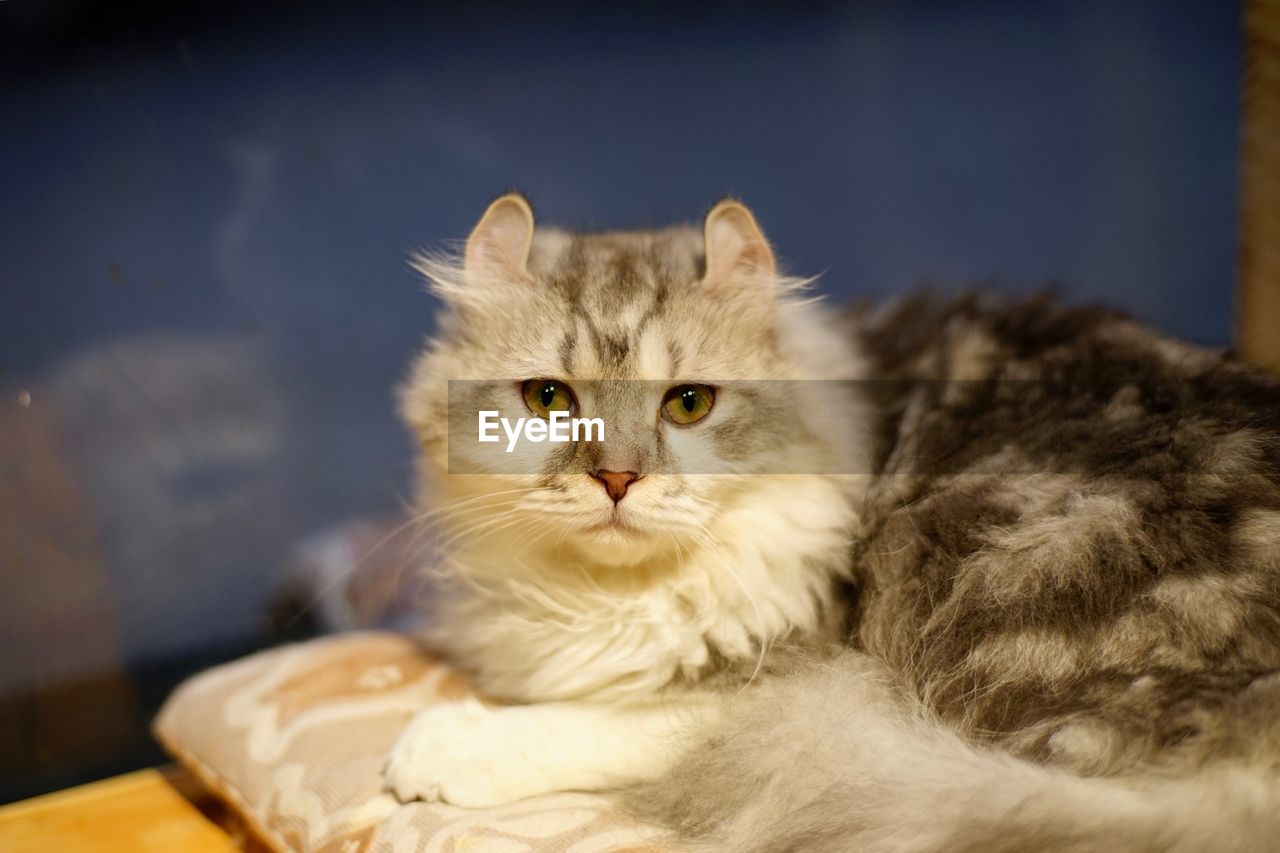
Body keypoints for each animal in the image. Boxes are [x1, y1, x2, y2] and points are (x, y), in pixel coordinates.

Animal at [384, 194, 1280, 850]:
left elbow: (599, 719)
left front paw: (431, 751)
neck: (606, 594)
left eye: (688, 404)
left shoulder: (791, 672)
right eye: (548, 398)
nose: (616, 478)